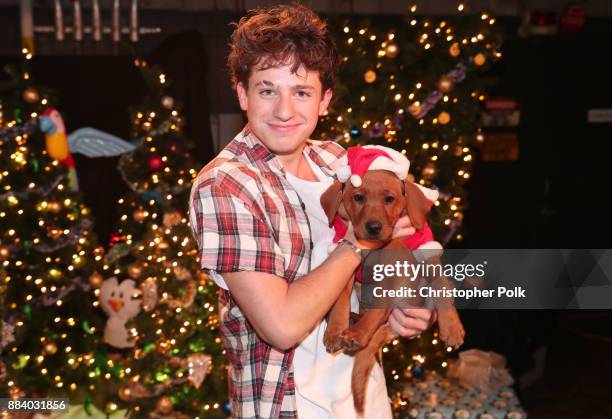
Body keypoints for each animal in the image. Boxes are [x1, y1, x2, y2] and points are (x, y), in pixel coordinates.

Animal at [320, 170, 464, 414]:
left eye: (389, 199)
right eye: (358, 198)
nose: (373, 227)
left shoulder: (427, 251)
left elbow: (441, 287)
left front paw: (452, 328)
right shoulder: (348, 263)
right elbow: (340, 300)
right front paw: (334, 331)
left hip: (396, 253)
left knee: (382, 308)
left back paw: (358, 333)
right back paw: (355, 323)